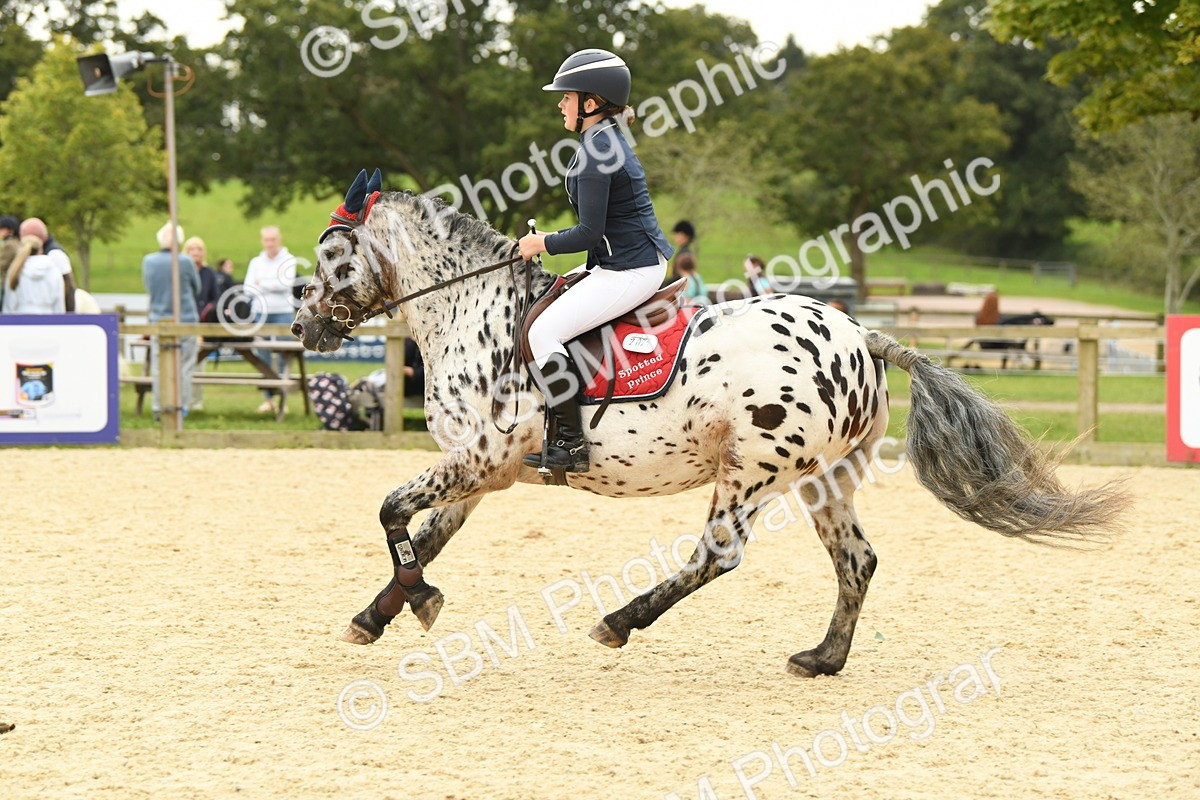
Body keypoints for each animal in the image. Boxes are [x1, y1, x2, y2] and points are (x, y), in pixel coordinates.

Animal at [290, 188, 1126, 678]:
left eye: (332, 256)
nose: (303, 328)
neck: (472, 309)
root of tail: (859, 333)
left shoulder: (483, 458)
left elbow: (392, 511)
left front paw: (415, 604)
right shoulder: (480, 468)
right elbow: (424, 534)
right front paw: (378, 615)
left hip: (750, 469)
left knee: (717, 556)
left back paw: (619, 623)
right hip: (825, 480)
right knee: (856, 561)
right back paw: (822, 659)